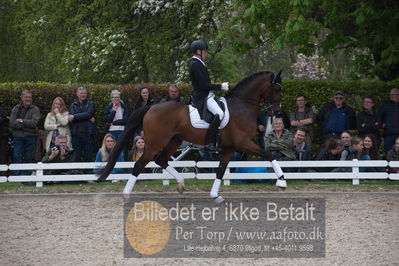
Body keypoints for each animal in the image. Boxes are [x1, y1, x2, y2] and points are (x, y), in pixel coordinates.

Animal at [99, 71, 288, 204]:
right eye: (277, 88)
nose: (276, 111)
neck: (242, 106)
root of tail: (151, 108)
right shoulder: (243, 143)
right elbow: (268, 154)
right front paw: (282, 182)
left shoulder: (230, 148)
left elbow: (221, 170)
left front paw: (215, 195)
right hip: (155, 143)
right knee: (140, 165)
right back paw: (126, 195)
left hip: (174, 141)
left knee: (161, 160)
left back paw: (181, 183)